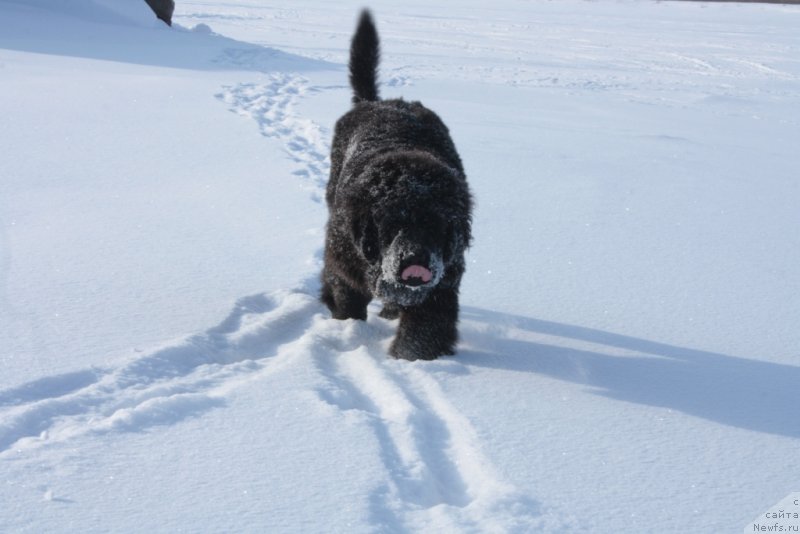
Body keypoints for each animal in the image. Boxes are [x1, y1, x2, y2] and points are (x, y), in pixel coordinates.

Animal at [320, 9, 472, 360]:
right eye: (391, 223)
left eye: (436, 224)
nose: (415, 260)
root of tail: (375, 102)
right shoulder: (346, 260)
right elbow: (347, 299)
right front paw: (349, 328)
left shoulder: (443, 281)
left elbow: (422, 330)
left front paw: (409, 360)